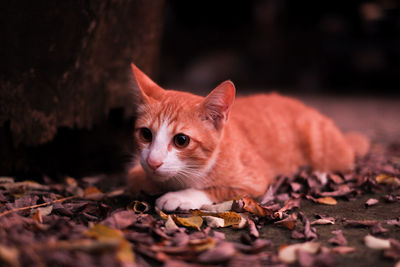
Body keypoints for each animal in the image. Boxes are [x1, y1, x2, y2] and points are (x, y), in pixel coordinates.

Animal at [127, 62, 368, 211]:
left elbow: (217, 189)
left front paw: (180, 196)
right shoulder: (138, 170)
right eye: (146, 134)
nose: (153, 162)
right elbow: (137, 179)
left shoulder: (254, 179)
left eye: (181, 140)